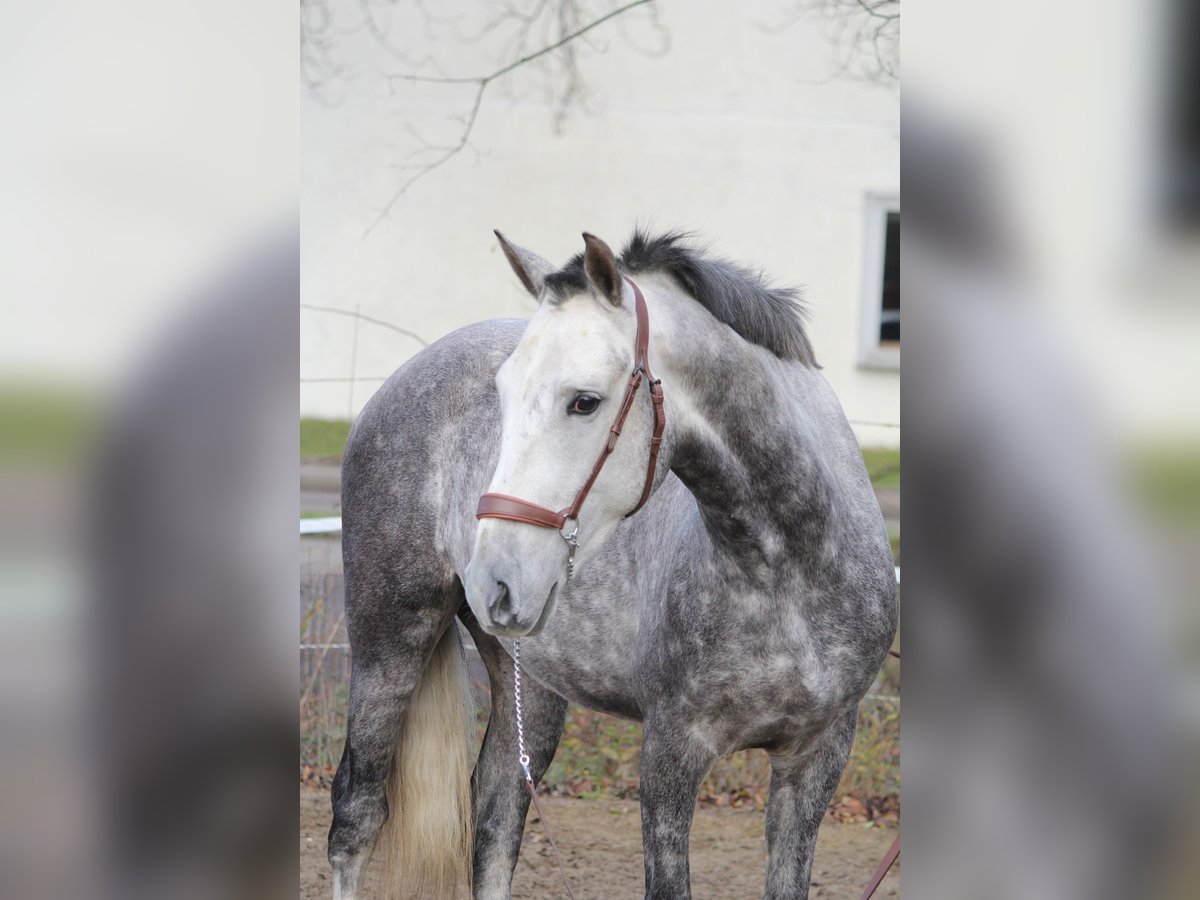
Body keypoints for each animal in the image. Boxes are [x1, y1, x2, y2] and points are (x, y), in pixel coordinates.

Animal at [328, 232, 902, 900]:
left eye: (584, 402)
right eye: (501, 397)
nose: (491, 576)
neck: (786, 572)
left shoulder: (815, 759)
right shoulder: (670, 754)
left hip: (530, 686)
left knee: (495, 817)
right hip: (389, 642)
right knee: (358, 815)